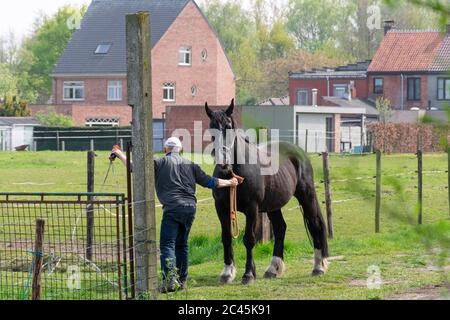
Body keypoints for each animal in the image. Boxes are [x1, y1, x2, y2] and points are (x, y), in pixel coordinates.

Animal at [206, 99, 328, 284]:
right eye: (211, 127)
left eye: (228, 126)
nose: (223, 160)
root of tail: (299, 152)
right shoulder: (221, 207)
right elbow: (226, 237)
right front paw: (227, 272)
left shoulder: (252, 208)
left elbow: (249, 239)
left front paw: (248, 274)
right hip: (273, 205)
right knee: (280, 229)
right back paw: (273, 268)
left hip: (306, 195)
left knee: (315, 225)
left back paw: (318, 267)